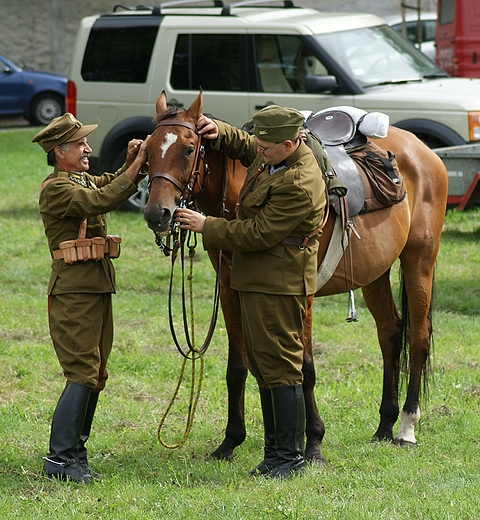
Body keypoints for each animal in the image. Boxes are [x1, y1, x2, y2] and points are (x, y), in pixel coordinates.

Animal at [144, 91, 448, 462]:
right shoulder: (233, 291)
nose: (158, 213)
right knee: (390, 332)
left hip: (419, 259)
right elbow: (241, 366)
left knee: (417, 337)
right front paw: (231, 441)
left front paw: (313, 442)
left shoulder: (302, 293)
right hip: (375, 273)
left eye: (189, 149)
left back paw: (406, 426)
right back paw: (384, 426)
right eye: (148, 149)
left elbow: (304, 367)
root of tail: (423, 151)